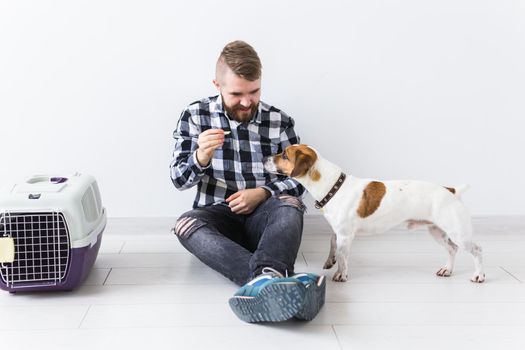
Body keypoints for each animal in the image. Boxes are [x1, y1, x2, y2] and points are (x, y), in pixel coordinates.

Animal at [264, 144, 486, 284]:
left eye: (285, 155)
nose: (265, 157)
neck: (334, 186)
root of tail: (451, 190)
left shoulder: (346, 235)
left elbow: (343, 256)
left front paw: (341, 275)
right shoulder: (338, 231)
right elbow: (332, 243)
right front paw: (330, 260)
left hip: (458, 233)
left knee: (477, 250)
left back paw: (479, 275)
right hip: (437, 231)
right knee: (452, 249)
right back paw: (447, 270)